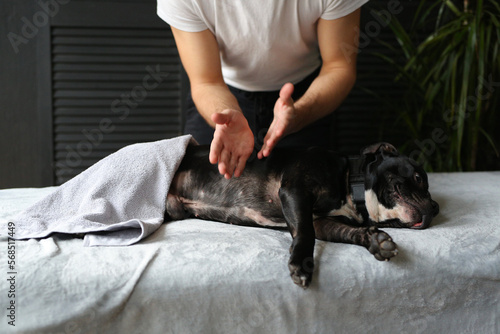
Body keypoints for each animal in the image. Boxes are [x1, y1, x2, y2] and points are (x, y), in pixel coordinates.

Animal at [167, 142, 438, 288]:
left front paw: (375, 241)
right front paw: (302, 264)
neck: (351, 185)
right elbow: (305, 234)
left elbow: (349, 232)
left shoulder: (324, 223)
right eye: (418, 177)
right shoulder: (295, 192)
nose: (435, 208)